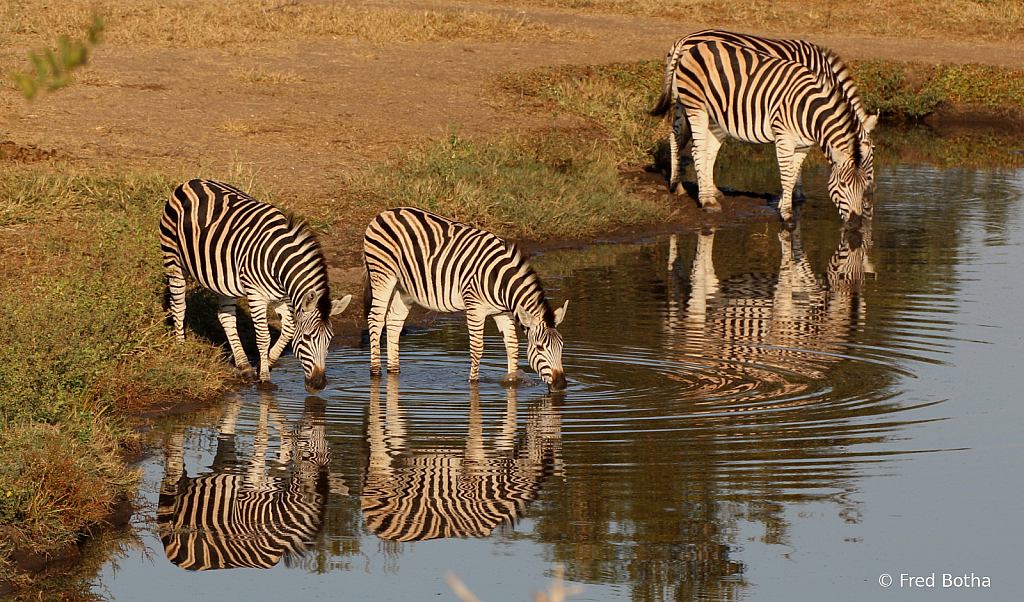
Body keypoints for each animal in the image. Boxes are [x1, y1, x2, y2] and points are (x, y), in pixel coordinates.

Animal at [157, 179, 352, 395]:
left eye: (330, 340)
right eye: (307, 338)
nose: (319, 385)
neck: (277, 260)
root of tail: (190, 182)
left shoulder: (282, 297)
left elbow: (288, 330)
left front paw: (263, 364)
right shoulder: (256, 295)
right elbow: (263, 337)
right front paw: (265, 378)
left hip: (221, 277)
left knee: (225, 317)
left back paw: (245, 367)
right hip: (173, 260)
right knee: (179, 306)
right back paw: (181, 348)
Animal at [362, 206, 573, 393]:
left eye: (562, 346)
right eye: (539, 348)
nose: (561, 385)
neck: (500, 280)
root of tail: (387, 212)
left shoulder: (502, 312)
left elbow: (512, 346)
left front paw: (513, 381)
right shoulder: (475, 307)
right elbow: (477, 348)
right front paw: (473, 383)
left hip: (404, 287)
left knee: (394, 322)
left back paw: (393, 371)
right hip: (382, 273)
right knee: (375, 319)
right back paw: (375, 372)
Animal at [651, 38, 876, 224]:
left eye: (861, 184)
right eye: (843, 185)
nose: (857, 222)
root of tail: (689, 44)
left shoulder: (803, 145)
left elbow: (792, 174)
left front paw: (786, 203)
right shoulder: (784, 138)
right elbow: (787, 174)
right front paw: (787, 213)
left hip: (716, 115)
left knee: (703, 150)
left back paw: (704, 193)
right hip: (695, 106)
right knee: (696, 149)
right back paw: (704, 201)